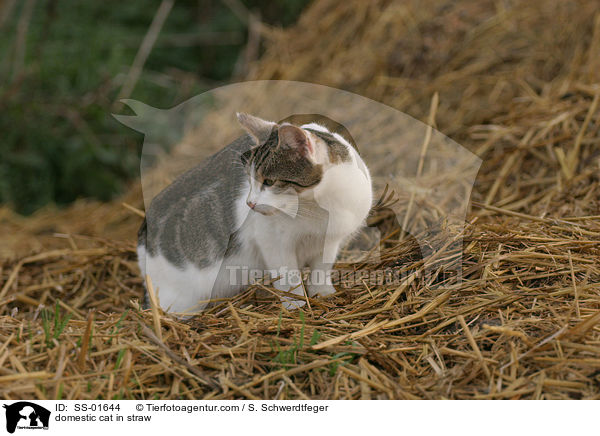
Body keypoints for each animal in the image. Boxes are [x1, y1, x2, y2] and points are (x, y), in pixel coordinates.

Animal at [138, 112, 372, 314]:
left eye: (269, 182)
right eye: (250, 180)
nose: (250, 203)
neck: (319, 206)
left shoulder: (330, 240)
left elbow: (321, 268)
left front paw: (323, 292)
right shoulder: (271, 241)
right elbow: (288, 276)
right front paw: (296, 305)